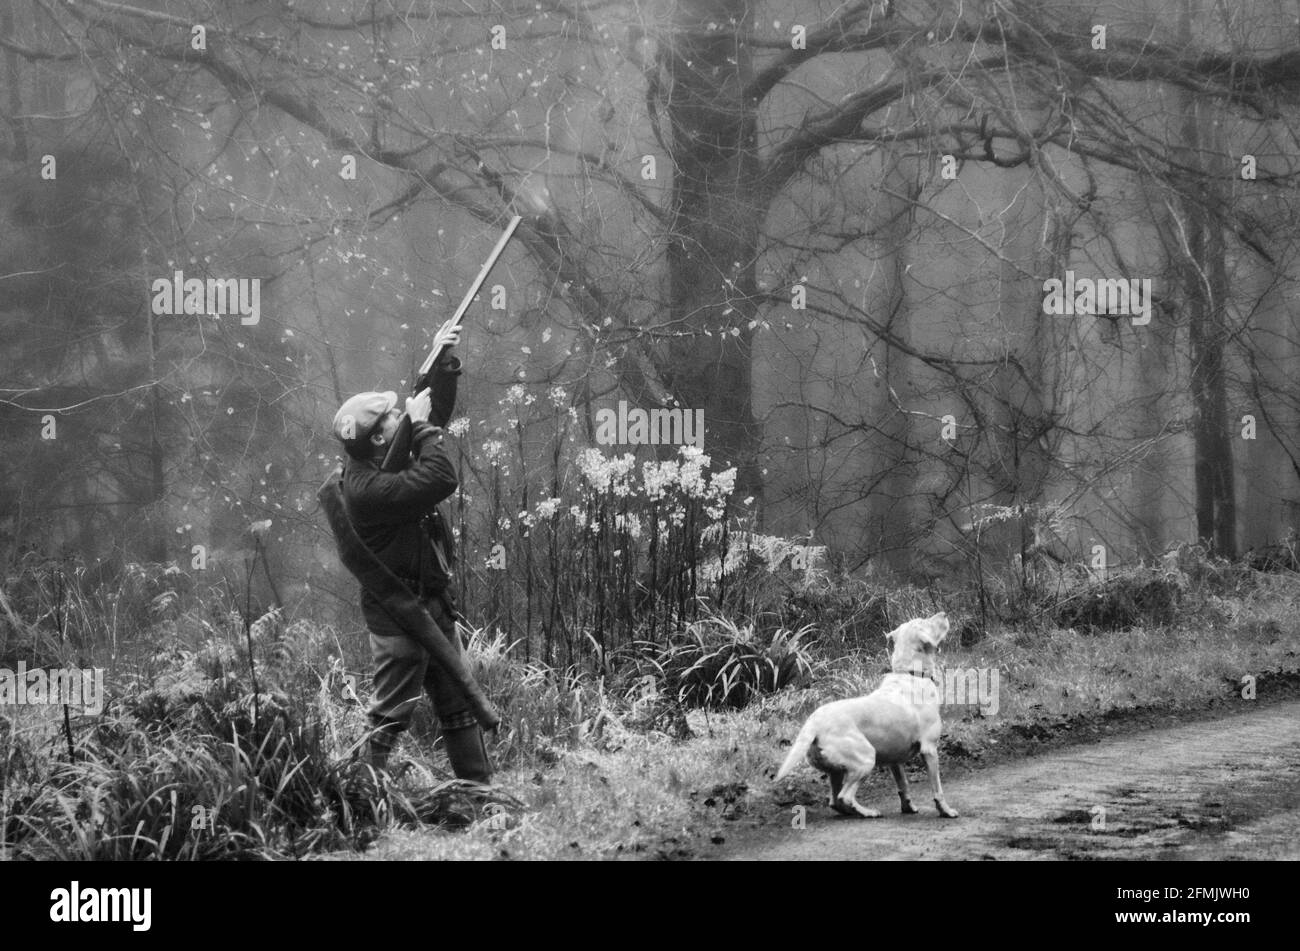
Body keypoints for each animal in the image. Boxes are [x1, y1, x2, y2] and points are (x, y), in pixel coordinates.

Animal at [774, 613, 961, 821]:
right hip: (866, 759)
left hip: (836, 771)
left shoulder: (894, 759)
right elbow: (937, 789)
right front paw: (946, 810)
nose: (944, 614)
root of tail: (814, 722)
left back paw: (854, 811)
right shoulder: (929, 750)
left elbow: (903, 784)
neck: (910, 674)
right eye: (926, 622)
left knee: (835, 800)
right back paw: (868, 812)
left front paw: (908, 807)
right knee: (845, 796)